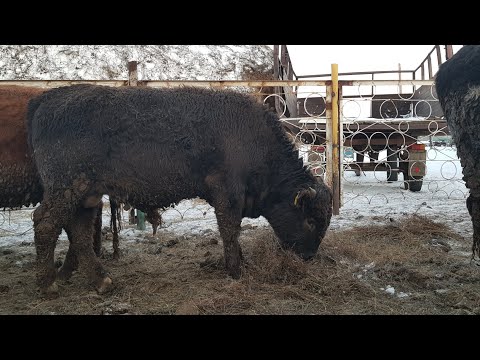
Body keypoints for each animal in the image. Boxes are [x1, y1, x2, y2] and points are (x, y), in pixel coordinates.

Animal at [26, 85, 334, 296]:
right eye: (310, 219)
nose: (308, 256)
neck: (256, 139)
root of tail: (47, 99)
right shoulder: (227, 194)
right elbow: (230, 230)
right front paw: (235, 269)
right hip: (67, 189)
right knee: (45, 223)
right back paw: (48, 284)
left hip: (86, 196)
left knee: (79, 233)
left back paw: (102, 281)